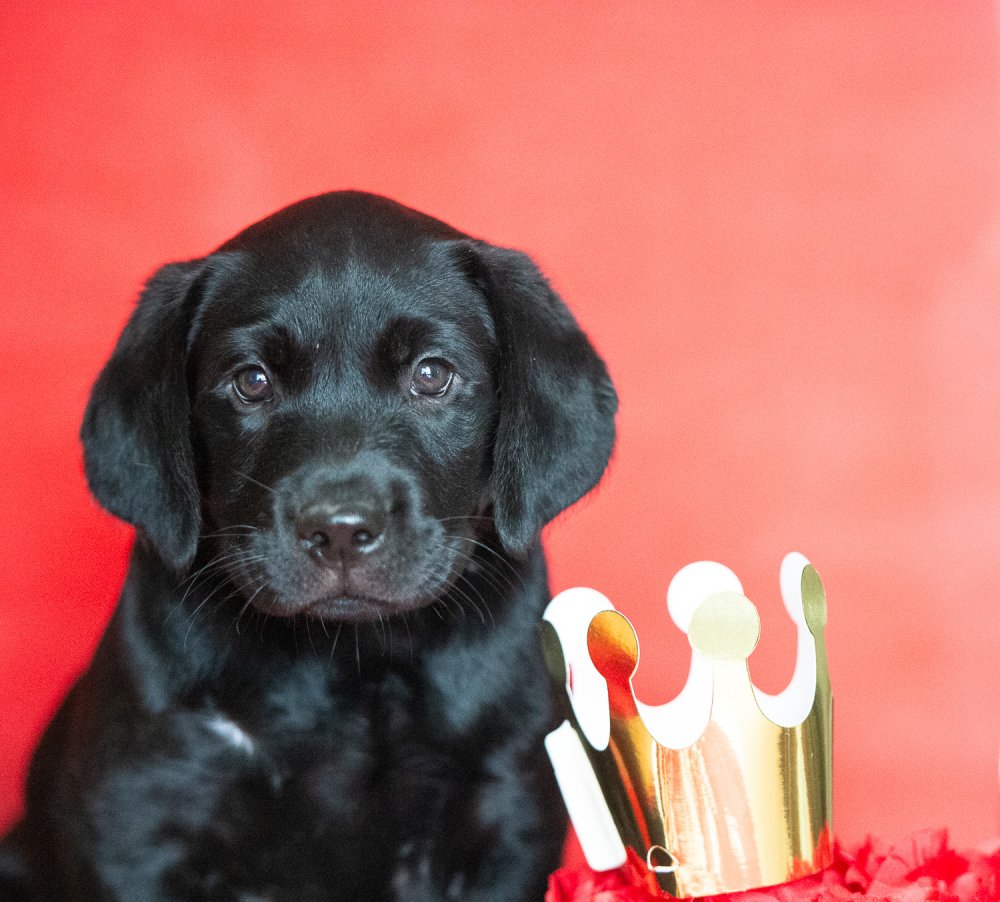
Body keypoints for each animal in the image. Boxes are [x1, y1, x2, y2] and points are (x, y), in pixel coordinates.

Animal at [0, 191, 617, 901]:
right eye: (252, 381)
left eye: (433, 375)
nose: (340, 529)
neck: (347, 660)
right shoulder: (142, 822)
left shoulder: (505, 817)